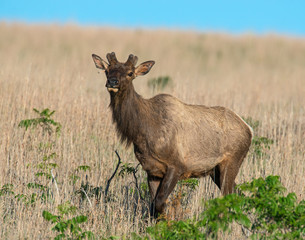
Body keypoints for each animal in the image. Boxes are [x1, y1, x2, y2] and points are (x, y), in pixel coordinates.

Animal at [91, 52, 252, 218]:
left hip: (232, 161)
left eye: (130, 73)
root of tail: (249, 129)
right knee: (240, 195)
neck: (142, 132)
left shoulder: (177, 165)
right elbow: (153, 206)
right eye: (107, 70)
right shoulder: (152, 170)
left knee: (229, 197)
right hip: (215, 171)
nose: (112, 81)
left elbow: (160, 203)